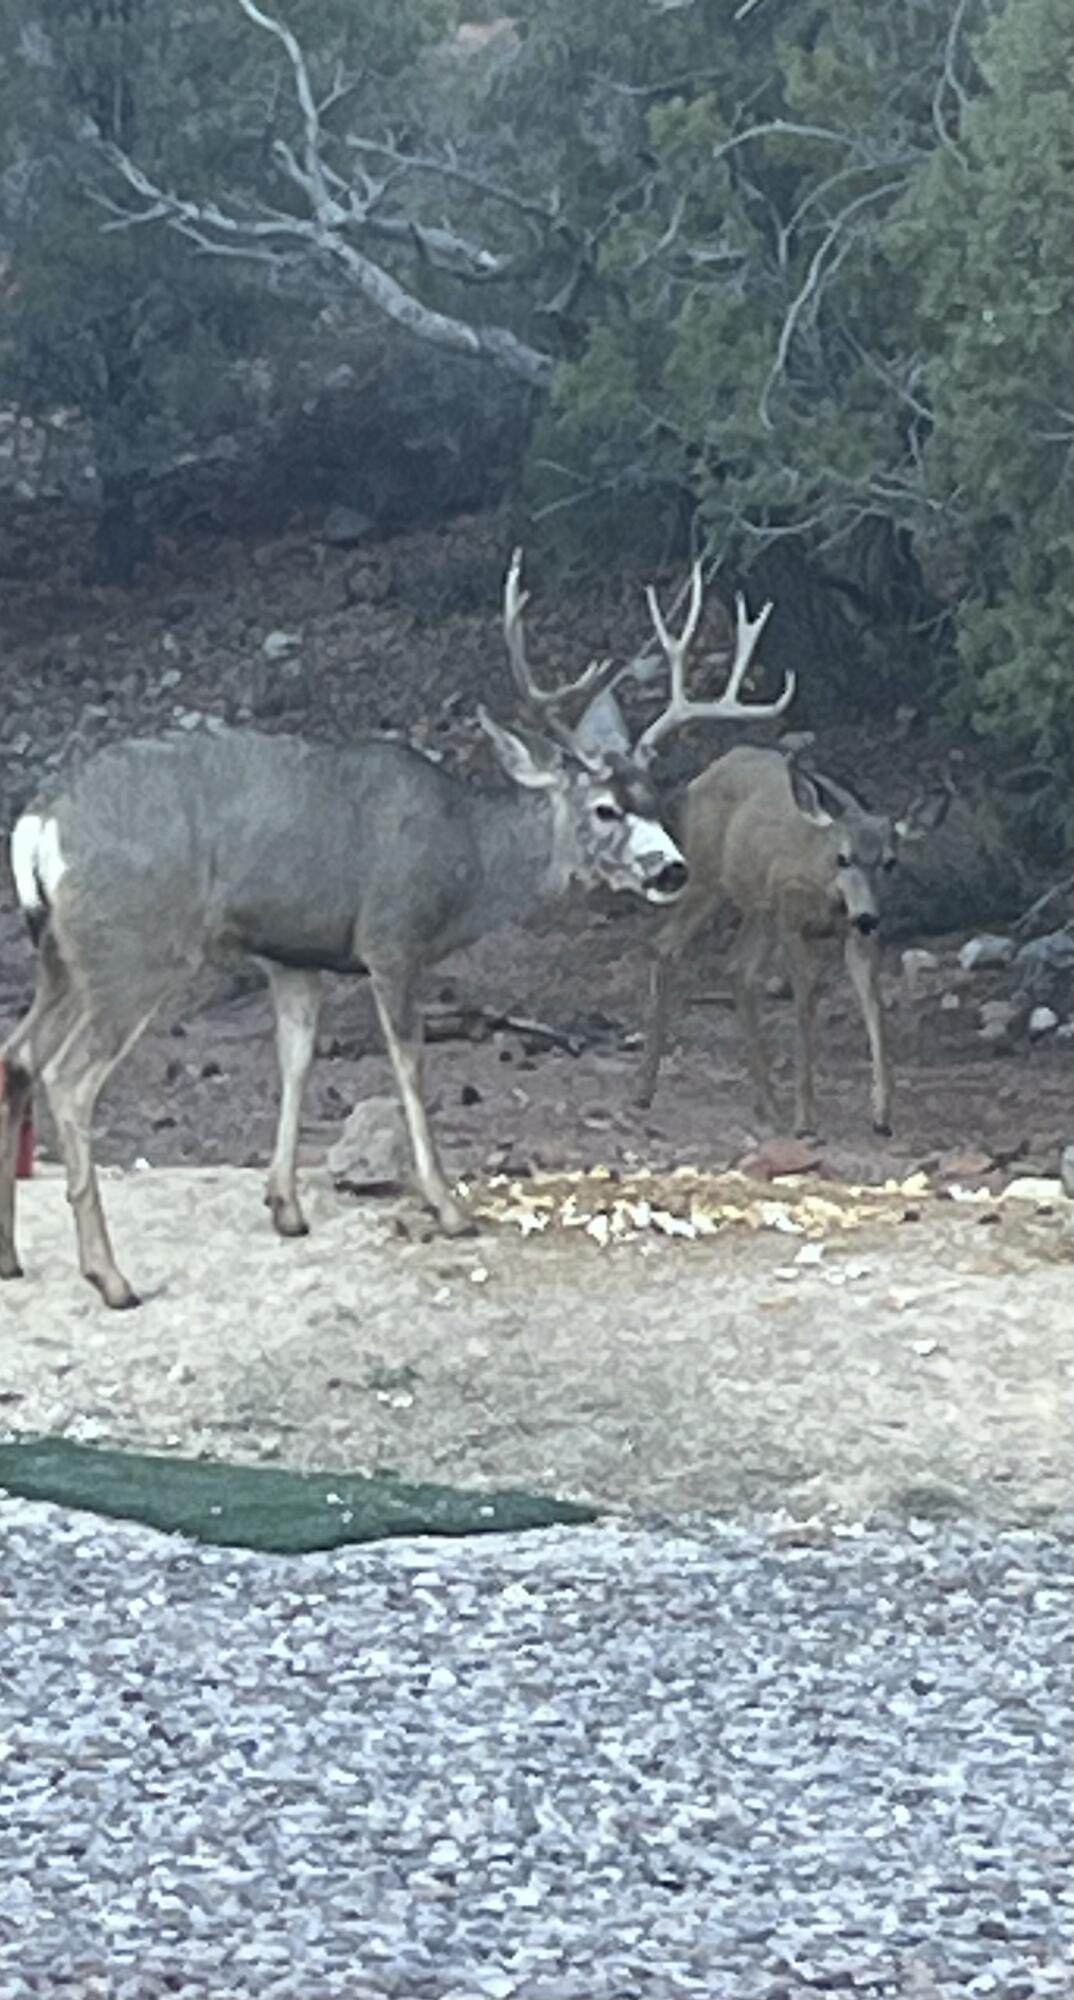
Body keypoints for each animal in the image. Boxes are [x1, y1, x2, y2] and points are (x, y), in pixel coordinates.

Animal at [0, 549, 690, 1310]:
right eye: (605, 808)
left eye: (657, 798)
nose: (673, 870)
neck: (467, 856)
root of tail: (40, 822)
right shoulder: (392, 936)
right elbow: (410, 1064)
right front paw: (448, 1207)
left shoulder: (296, 957)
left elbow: (296, 1061)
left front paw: (286, 1208)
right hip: (134, 949)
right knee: (67, 1079)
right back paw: (110, 1277)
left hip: (61, 958)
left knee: (17, 1056)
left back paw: (11, 1258)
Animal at [602, 567, 951, 1136]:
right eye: (842, 857)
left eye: (891, 862)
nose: (868, 915)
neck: (827, 892)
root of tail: (698, 779)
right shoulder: (790, 911)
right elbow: (808, 994)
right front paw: (807, 1116)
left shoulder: (854, 932)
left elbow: (873, 1000)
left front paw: (881, 1111)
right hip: (707, 879)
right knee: (665, 945)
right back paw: (645, 1089)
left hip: (754, 906)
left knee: (736, 969)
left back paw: (764, 1102)